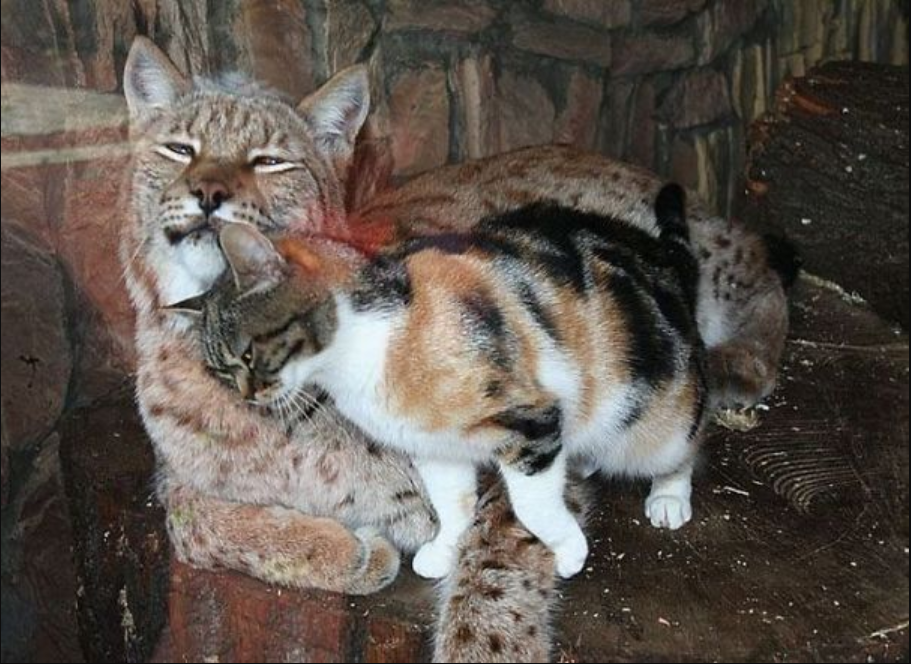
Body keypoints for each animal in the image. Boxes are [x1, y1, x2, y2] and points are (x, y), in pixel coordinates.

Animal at [178, 184, 704, 580]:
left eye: (249, 354)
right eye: (221, 370)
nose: (247, 397)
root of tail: (661, 255)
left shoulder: (530, 422)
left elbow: (532, 505)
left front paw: (569, 551)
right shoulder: (432, 444)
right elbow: (452, 503)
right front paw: (445, 550)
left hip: (655, 422)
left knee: (685, 446)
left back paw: (668, 498)